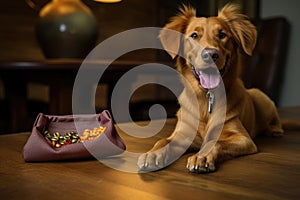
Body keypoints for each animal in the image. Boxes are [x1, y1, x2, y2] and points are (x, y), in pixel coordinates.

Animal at [137, 4, 284, 173]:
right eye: (194, 35)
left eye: (222, 35)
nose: (210, 54)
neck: (206, 97)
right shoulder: (183, 134)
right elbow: (162, 141)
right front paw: (152, 154)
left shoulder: (242, 138)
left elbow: (215, 142)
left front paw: (202, 156)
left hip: (261, 96)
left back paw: (274, 130)